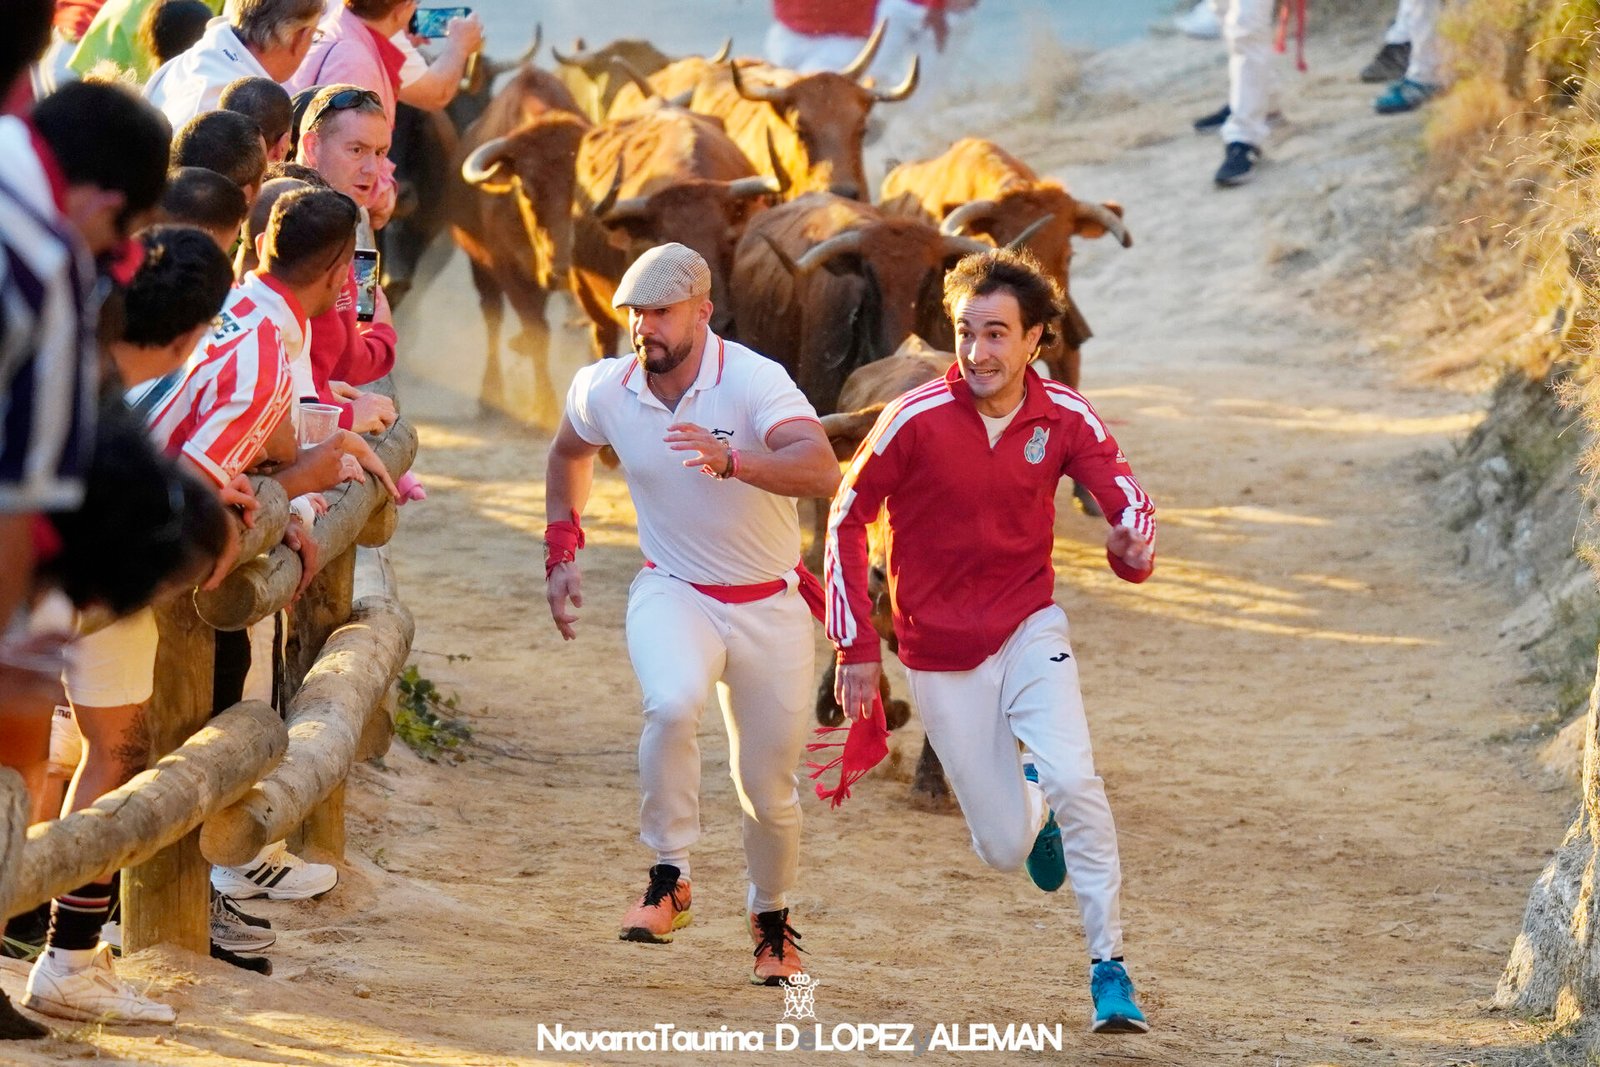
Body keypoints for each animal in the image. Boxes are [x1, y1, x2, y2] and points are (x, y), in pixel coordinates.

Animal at [454, 63, 592, 425]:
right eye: (527, 188)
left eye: (584, 185)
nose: (561, 270)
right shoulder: (507, 267)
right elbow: (537, 330)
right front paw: (545, 407)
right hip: (481, 268)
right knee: (493, 316)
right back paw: (491, 395)